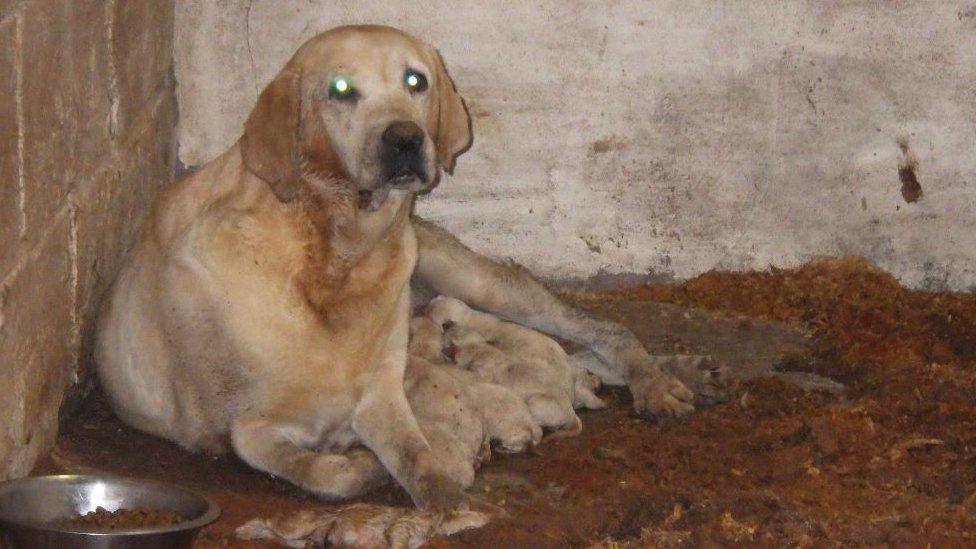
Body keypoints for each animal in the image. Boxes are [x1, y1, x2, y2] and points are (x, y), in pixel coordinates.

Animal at [95, 24, 704, 506]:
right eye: (341, 90)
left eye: (416, 81)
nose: (405, 138)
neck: (332, 256)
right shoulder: (243, 428)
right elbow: (326, 471)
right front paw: (364, 461)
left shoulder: (384, 394)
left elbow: (417, 455)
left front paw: (438, 489)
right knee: (576, 355)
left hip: (473, 278)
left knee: (602, 330)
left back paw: (663, 380)